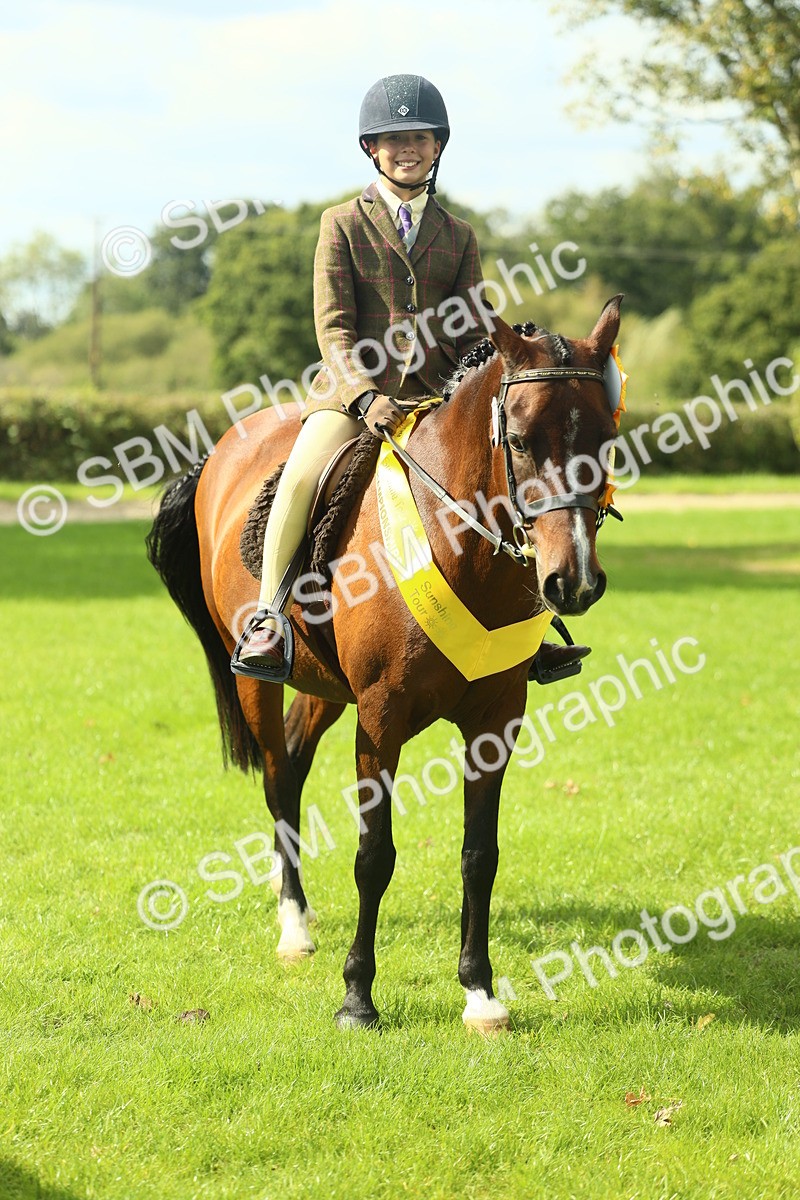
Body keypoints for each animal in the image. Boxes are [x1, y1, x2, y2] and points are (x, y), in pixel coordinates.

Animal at [146, 296, 623, 1033]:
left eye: (606, 438)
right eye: (519, 441)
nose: (571, 582)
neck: (462, 545)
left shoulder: (495, 721)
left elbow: (479, 856)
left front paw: (480, 994)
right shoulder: (380, 719)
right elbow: (375, 856)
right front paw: (357, 996)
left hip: (324, 688)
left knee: (294, 760)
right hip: (258, 681)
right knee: (278, 781)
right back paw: (294, 926)